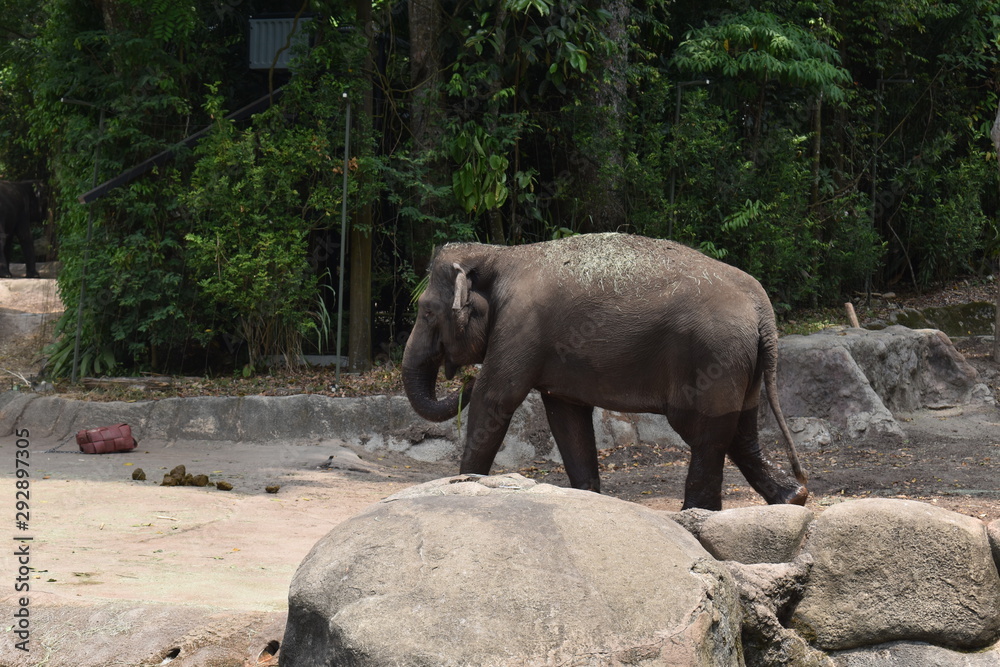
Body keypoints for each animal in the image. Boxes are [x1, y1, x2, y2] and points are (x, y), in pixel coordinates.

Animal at [402, 232, 807, 510]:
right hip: (743, 361)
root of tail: (762, 308)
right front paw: (588, 499)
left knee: (706, 431)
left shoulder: (520, 327)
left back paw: (697, 512)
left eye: (427, 312)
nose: (464, 379)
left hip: (713, 355)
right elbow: (566, 416)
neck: (498, 253)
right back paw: (792, 497)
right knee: (740, 427)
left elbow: (496, 397)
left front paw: (462, 483)